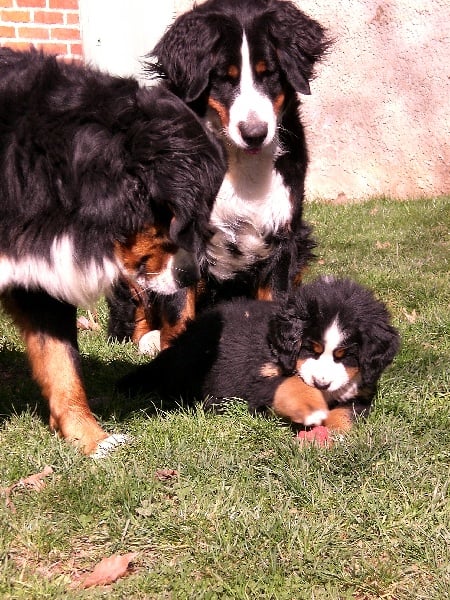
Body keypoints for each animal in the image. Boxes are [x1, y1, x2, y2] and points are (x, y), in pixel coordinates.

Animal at [107, 0, 331, 353]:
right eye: (224, 78)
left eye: (270, 74)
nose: (254, 133)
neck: (237, 163)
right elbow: (177, 309)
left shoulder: (283, 236)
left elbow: (276, 301)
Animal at [118, 277, 400, 433]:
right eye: (311, 348)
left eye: (345, 355)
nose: (321, 383)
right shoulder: (257, 377)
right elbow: (287, 384)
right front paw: (309, 406)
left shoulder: (361, 393)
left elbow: (347, 413)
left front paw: (336, 432)